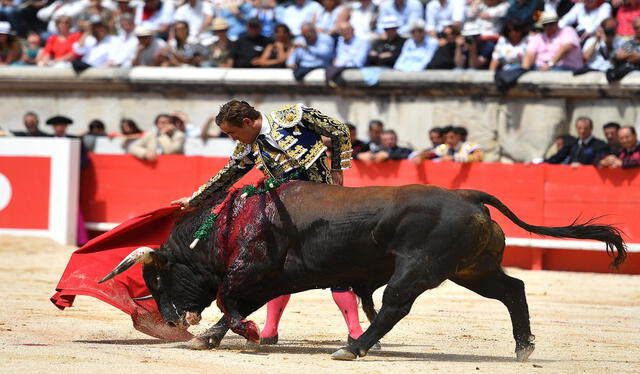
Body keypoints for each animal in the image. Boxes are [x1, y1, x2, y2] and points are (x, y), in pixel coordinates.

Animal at [100, 181, 624, 360]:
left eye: (158, 278)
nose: (170, 319)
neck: (231, 224)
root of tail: (468, 195)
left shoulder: (252, 272)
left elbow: (232, 302)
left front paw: (230, 334)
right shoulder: (272, 278)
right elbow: (238, 306)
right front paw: (210, 338)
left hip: (419, 268)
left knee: (393, 305)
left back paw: (352, 348)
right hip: (472, 269)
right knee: (513, 288)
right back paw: (523, 347)